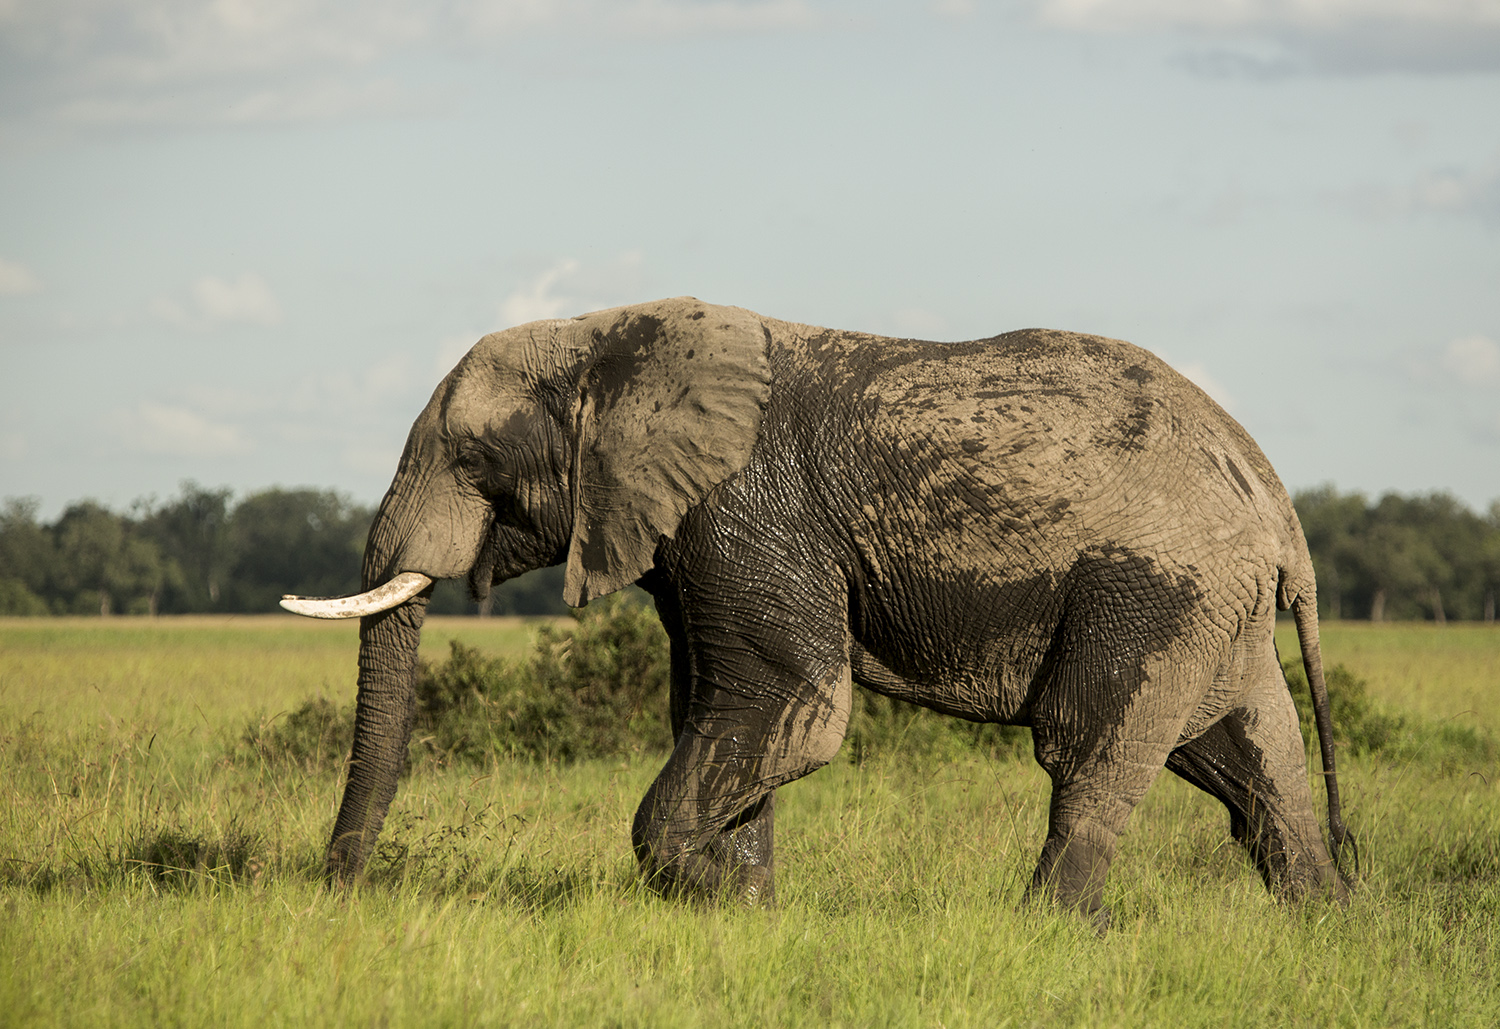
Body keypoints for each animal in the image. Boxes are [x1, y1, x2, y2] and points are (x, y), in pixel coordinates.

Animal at [279, 294, 1350, 924]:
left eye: (471, 458)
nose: (340, 895)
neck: (610, 336)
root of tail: (1273, 494)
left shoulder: (748, 508)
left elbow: (786, 706)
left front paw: (719, 896)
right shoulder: (700, 536)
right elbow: (726, 711)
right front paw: (747, 910)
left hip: (1155, 589)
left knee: (1090, 748)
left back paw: (1045, 932)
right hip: (1215, 607)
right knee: (1254, 757)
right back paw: (1326, 921)